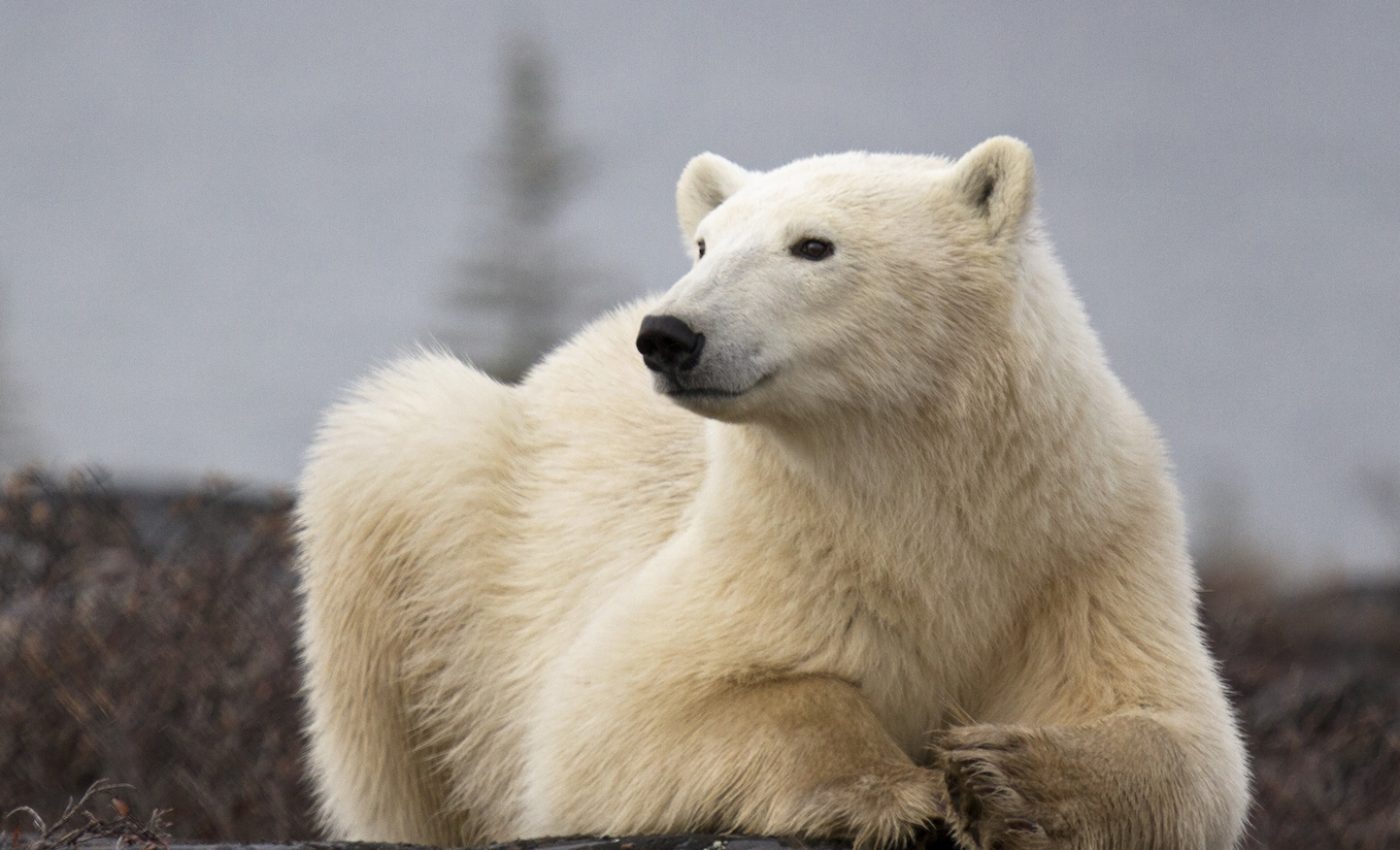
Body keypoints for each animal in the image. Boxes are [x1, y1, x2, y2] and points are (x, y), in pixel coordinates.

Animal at [296, 137, 1250, 850]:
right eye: (706, 243)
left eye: (813, 245)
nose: (669, 334)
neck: (919, 485)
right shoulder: (772, 543)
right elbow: (618, 713)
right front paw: (893, 790)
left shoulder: (1082, 545)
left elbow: (1181, 740)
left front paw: (1000, 776)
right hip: (451, 517)